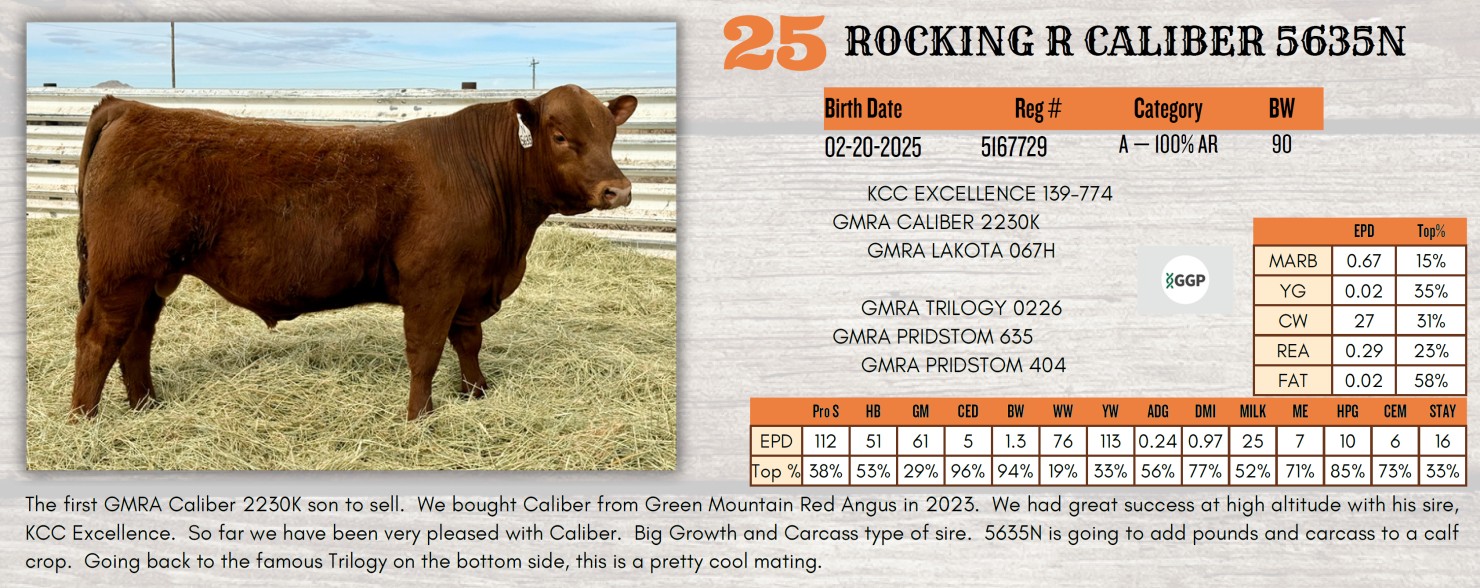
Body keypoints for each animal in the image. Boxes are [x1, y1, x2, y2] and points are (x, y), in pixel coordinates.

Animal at [70, 85, 638, 420]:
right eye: (560, 136)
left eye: (612, 133)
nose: (618, 190)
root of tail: (130, 108)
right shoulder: (433, 283)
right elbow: (425, 352)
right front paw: (419, 418)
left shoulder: (468, 283)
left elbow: (469, 342)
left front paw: (476, 393)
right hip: (122, 273)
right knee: (100, 337)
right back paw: (85, 420)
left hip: (152, 277)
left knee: (136, 339)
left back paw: (145, 406)